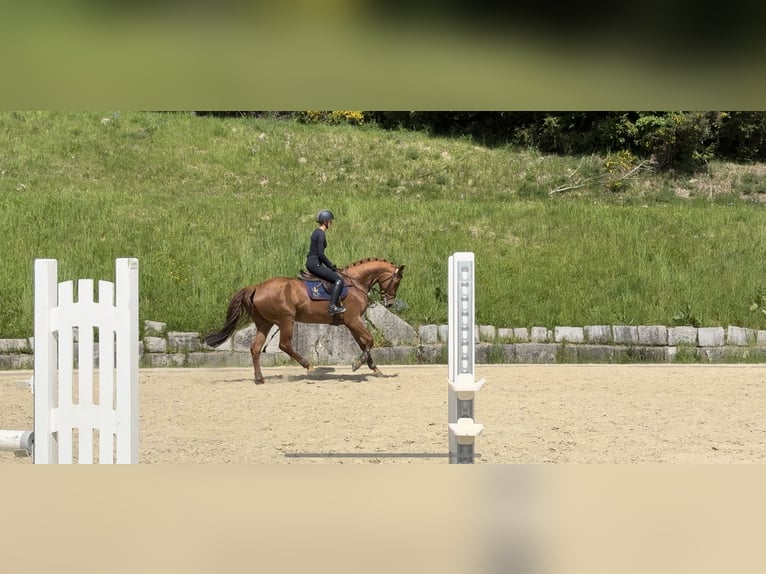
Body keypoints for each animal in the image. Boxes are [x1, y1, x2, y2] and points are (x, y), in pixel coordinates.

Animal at [204, 258, 408, 384]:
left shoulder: (351, 323)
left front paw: (374, 368)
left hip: (264, 323)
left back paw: (259, 378)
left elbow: (363, 343)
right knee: (284, 345)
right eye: (397, 281)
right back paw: (309, 367)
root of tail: (256, 287)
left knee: (255, 348)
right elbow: (370, 340)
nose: (389, 302)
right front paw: (357, 365)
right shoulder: (353, 320)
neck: (356, 282)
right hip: (286, 320)